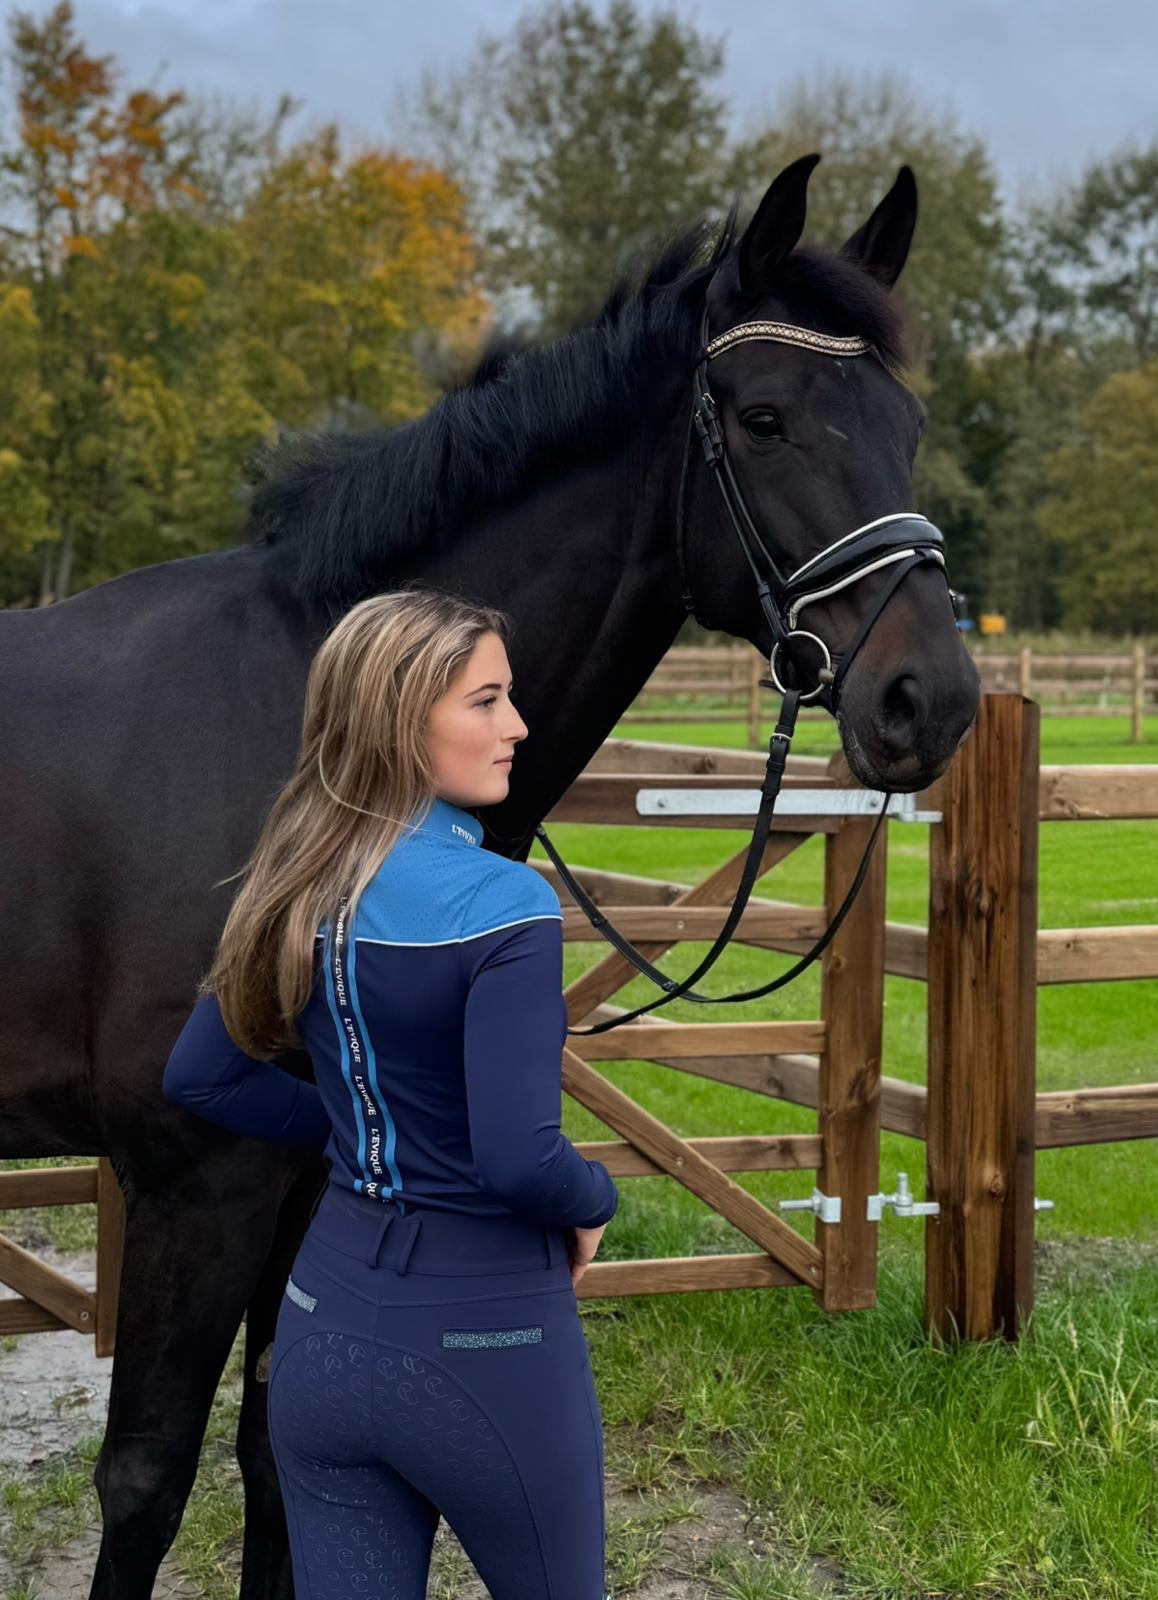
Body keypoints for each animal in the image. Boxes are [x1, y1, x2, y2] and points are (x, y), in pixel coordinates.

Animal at [0, 153, 980, 1598]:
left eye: (903, 425)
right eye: (761, 419)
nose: (933, 700)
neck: (306, 735)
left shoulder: (312, 1171)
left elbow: (280, 1456)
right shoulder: (195, 1180)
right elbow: (147, 1479)